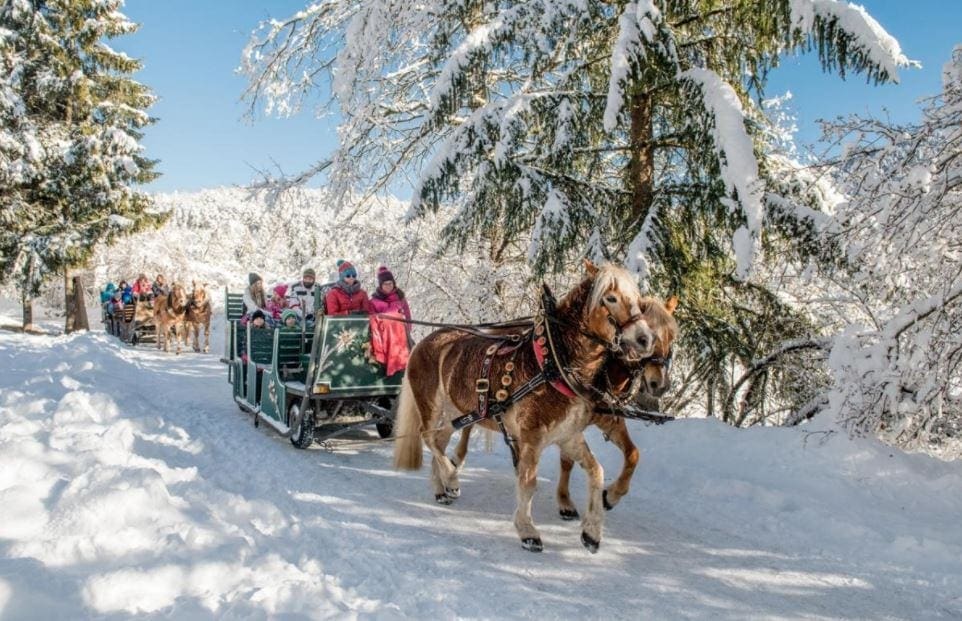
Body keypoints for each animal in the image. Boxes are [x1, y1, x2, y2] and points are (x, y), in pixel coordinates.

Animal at [390, 260, 668, 548]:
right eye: (611, 298)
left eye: (638, 301)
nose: (645, 339)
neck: (554, 363)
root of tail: (425, 341)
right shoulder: (532, 435)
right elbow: (528, 481)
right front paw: (527, 530)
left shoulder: (568, 435)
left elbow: (596, 471)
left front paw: (591, 530)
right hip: (430, 404)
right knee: (428, 437)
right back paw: (452, 479)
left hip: (458, 411)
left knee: (440, 441)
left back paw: (440, 488)